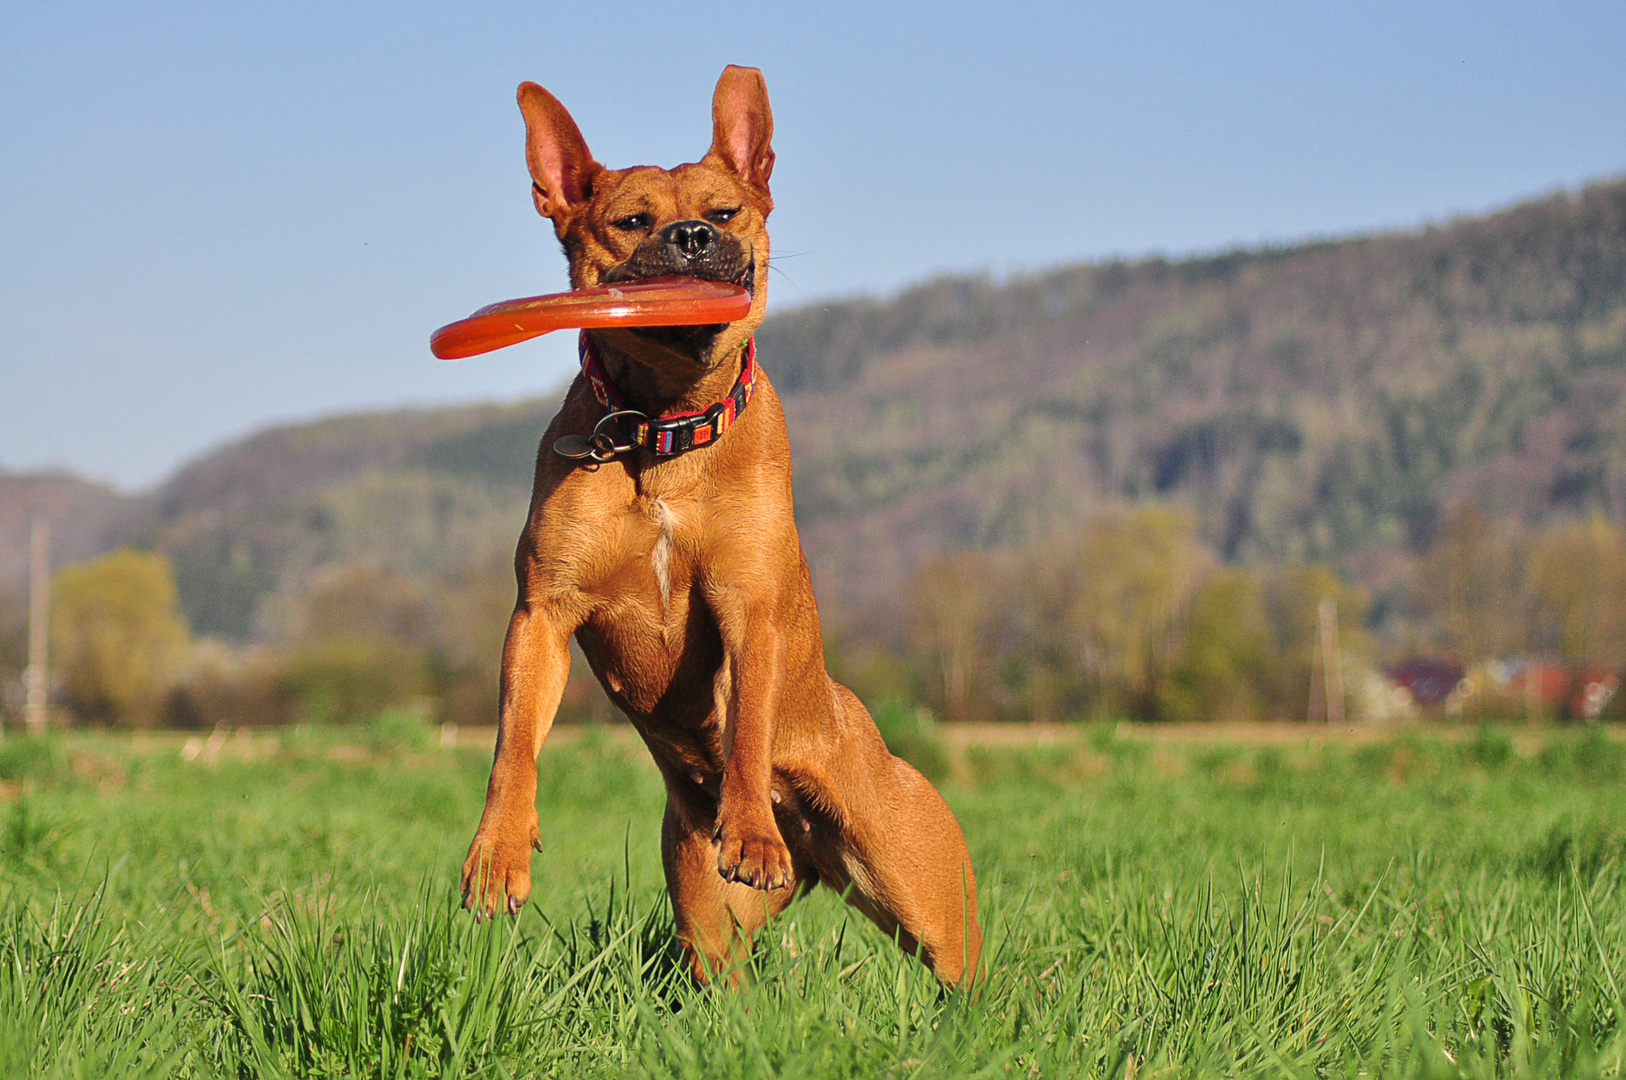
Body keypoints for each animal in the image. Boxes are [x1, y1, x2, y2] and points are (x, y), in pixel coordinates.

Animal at [465, 60, 982, 988]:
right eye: (633, 221)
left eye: (727, 210)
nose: (694, 237)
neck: (667, 430)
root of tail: (815, 853)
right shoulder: (542, 616)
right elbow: (513, 745)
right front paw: (499, 852)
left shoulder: (749, 609)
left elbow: (745, 727)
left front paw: (747, 831)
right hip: (709, 925)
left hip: (930, 896)